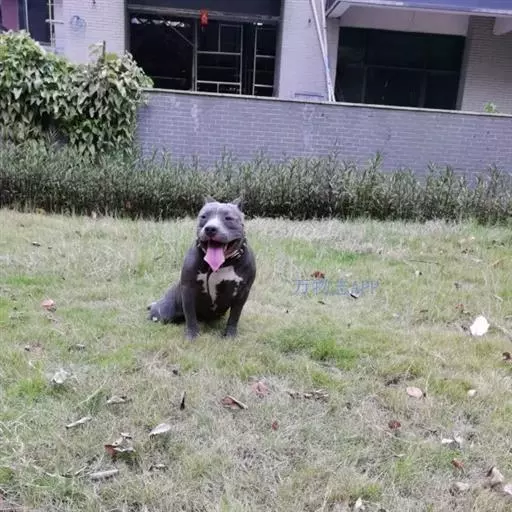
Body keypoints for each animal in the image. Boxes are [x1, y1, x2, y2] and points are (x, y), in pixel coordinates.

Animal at [148, 197, 256, 341]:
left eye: (228, 218)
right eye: (203, 217)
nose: (210, 228)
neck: (222, 264)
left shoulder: (243, 291)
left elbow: (235, 315)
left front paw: (230, 335)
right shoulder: (188, 288)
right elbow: (190, 314)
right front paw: (192, 334)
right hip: (164, 311)